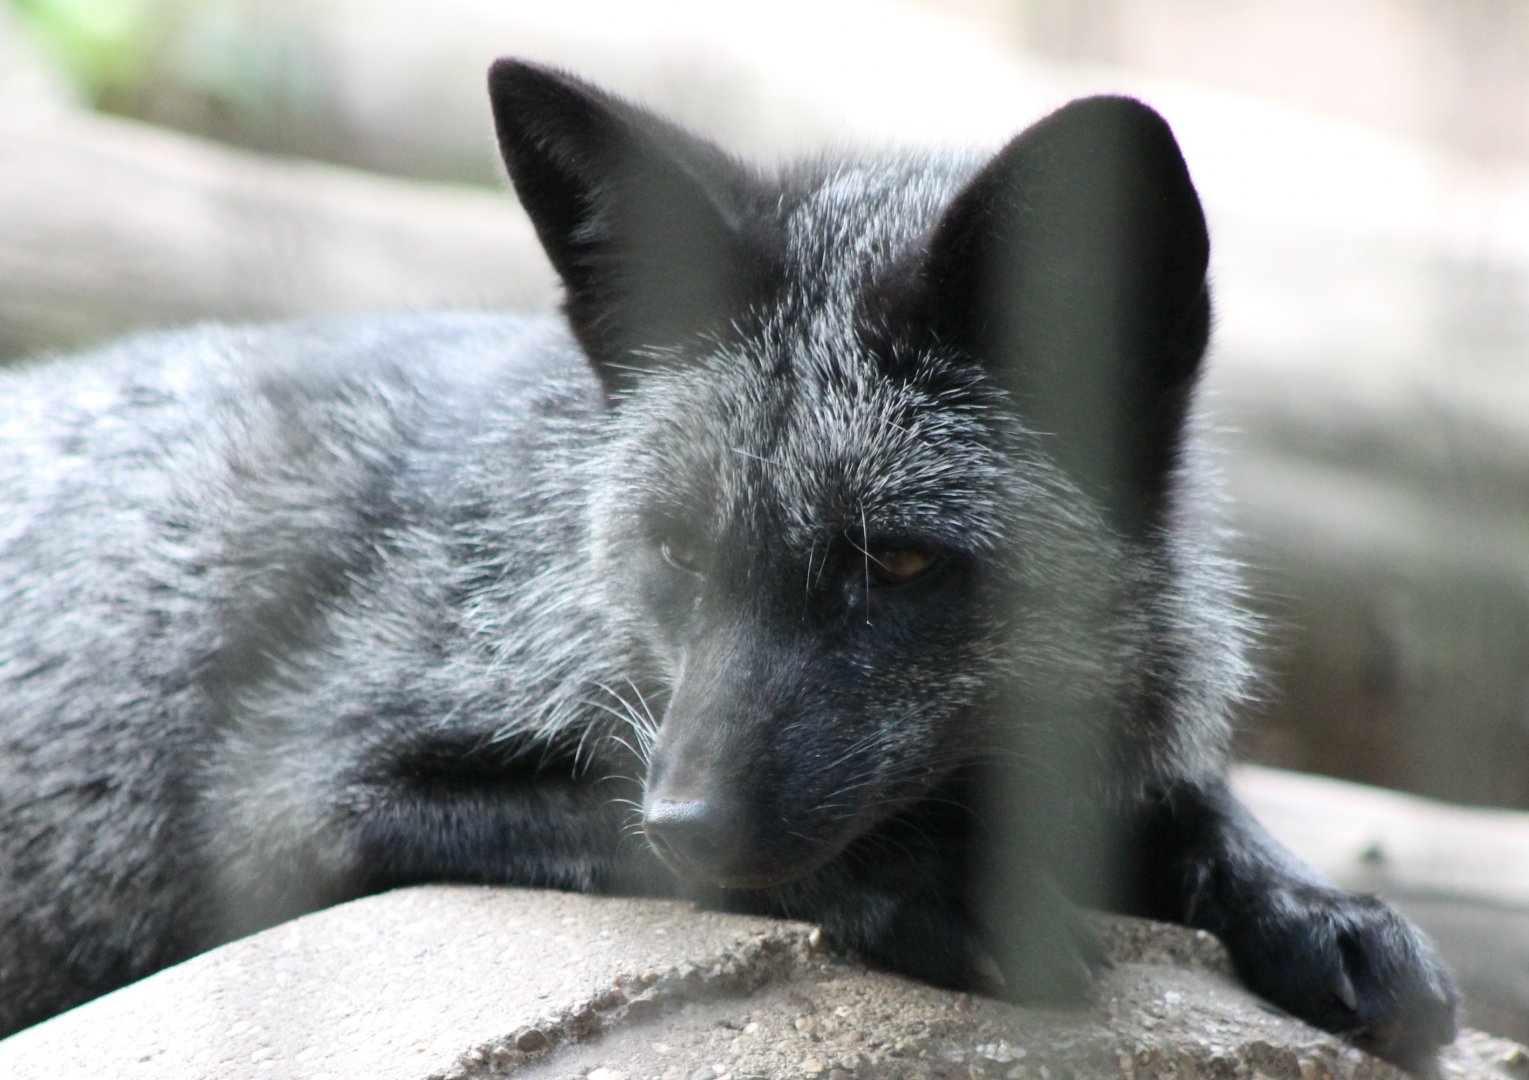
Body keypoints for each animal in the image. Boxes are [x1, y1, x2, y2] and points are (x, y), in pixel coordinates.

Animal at [0, 59, 1457, 1068]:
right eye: (678, 553)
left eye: (899, 565)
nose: (687, 815)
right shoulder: (292, 793)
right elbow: (639, 826)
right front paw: (932, 888)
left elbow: (1199, 811)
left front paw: (1323, 913)